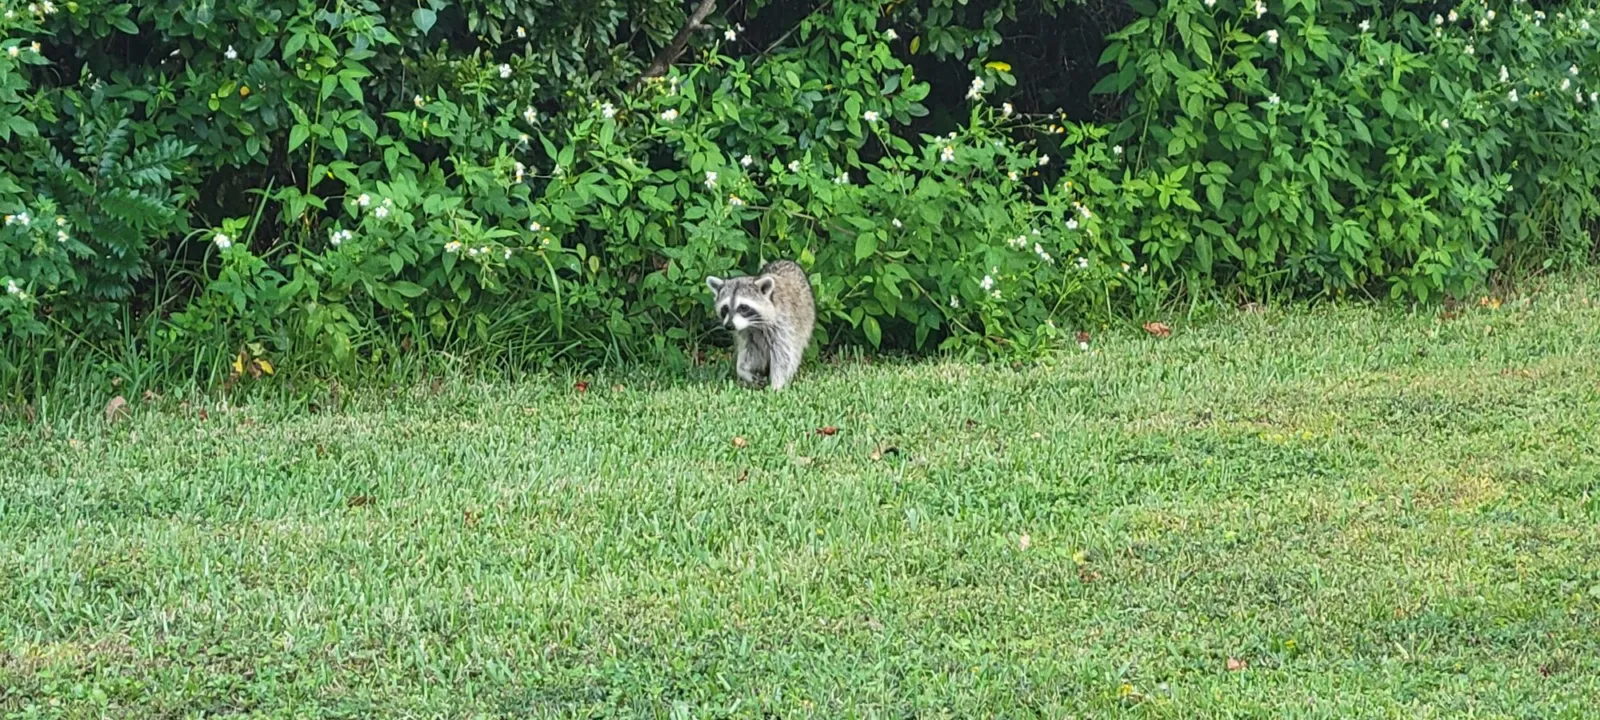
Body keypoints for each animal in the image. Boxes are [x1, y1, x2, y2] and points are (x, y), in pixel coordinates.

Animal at [705, 260, 815, 390]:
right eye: (725, 308)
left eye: (743, 307)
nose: (729, 326)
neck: (753, 324)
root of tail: (785, 261)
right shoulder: (746, 333)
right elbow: (750, 352)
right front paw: (743, 371)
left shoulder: (783, 325)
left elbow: (784, 357)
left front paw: (776, 386)